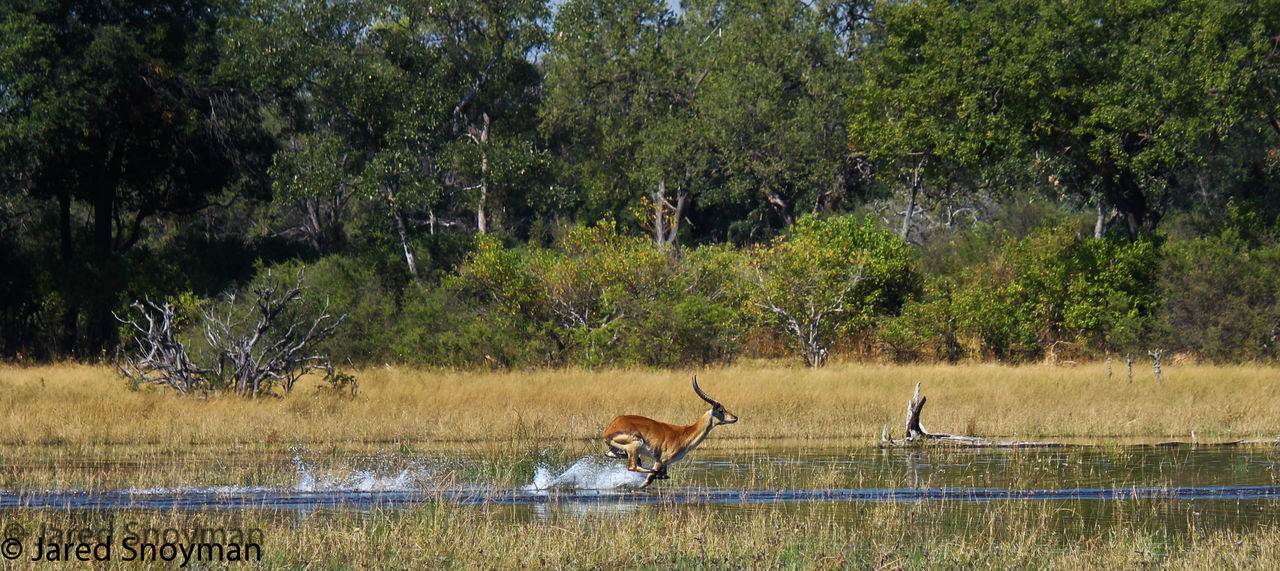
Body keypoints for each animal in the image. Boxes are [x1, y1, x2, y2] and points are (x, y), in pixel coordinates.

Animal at [601, 373, 737, 486]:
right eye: (721, 410)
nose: (735, 417)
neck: (685, 433)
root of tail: (609, 429)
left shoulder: (664, 463)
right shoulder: (661, 460)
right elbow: (648, 481)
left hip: (618, 448)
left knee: (610, 454)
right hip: (636, 444)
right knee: (632, 467)